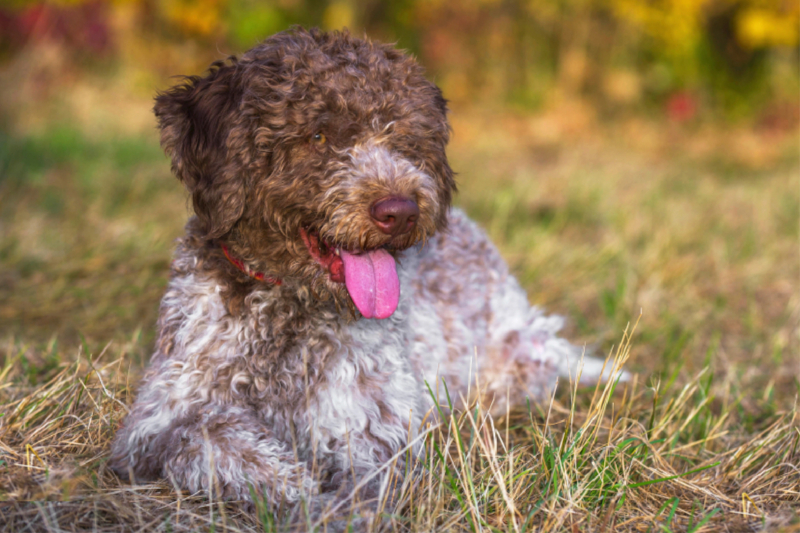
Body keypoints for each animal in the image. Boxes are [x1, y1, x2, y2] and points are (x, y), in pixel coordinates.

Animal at [111, 26, 624, 528]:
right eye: (318, 135)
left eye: (404, 138)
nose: (401, 212)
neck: (289, 309)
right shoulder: (156, 421)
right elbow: (216, 442)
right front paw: (298, 496)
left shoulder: (374, 425)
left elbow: (366, 488)